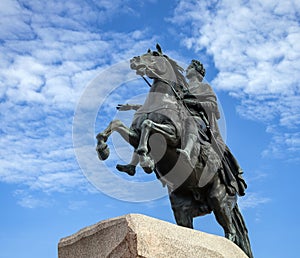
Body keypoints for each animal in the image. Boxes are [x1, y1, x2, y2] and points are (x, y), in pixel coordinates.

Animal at [96, 45, 253, 256]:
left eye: (154, 55)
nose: (134, 60)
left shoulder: (172, 136)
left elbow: (148, 125)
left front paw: (146, 160)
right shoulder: (134, 136)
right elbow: (117, 124)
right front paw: (103, 148)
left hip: (218, 198)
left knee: (231, 233)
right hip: (181, 207)